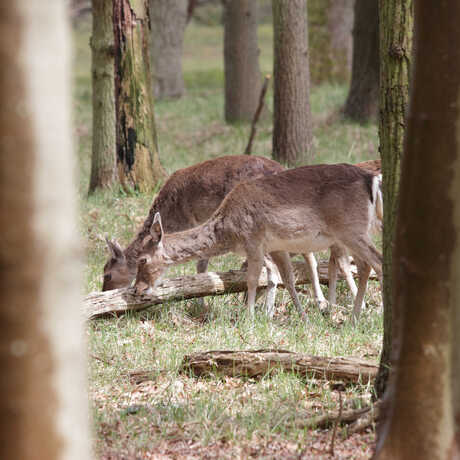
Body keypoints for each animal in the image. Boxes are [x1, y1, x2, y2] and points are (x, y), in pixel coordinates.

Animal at [135, 164, 382, 322]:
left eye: (142, 259)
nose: (137, 289)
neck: (229, 231)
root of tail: (372, 179)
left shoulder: (253, 241)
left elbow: (252, 280)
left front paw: (250, 318)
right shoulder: (277, 246)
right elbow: (288, 279)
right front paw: (303, 318)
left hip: (351, 229)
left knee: (377, 262)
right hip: (352, 233)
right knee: (363, 265)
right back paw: (354, 317)